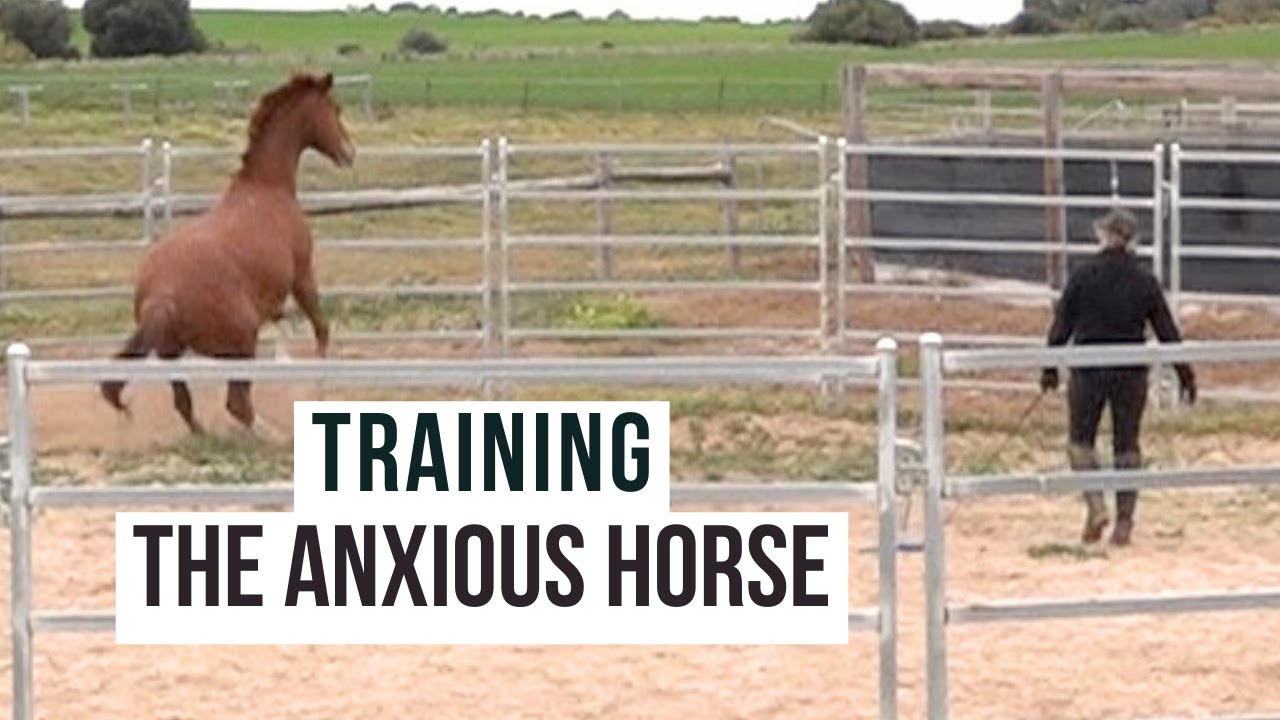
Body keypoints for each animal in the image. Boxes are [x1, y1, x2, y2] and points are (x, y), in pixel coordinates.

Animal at [101, 72, 355, 434]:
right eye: (335, 108)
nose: (349, 152)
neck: (266, 188)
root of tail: (162, 295)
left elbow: (285, 321)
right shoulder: (302, 274)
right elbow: (321, 327)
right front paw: (318, 385)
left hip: (171, 354)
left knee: (186, 405)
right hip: (242, 343)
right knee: (238, 404)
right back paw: (271, 433)